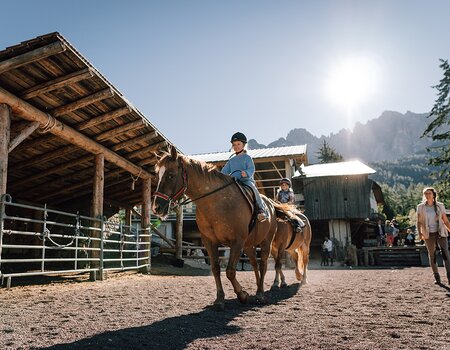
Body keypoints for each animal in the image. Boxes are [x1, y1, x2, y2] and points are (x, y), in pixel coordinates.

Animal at [151, 148, 278, 308]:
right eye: (158, 175)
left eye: (170, 175)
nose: (156, 208)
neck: (217, 203)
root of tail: (271, 205)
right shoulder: (209, 242)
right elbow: (216, 269)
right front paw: (219, 299)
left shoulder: (236, 242)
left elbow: (230, 271)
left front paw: (242, 295)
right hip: (249, 245)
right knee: (255, 265)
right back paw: (257, 290)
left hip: (266, 242)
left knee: (263, 265)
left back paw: (260, 294)